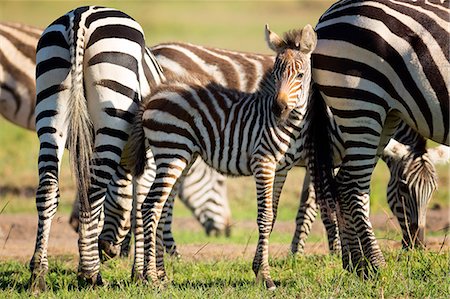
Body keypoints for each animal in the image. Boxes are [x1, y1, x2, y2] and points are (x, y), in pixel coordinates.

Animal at [310, 0, 450, 276]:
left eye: (433, 190)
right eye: (404, 188)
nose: (418, 246)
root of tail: (328, 13)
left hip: (382, 116)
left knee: (345, 183)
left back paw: (355, 264)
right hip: (361, 101)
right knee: (352, 186)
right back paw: (375, 266)